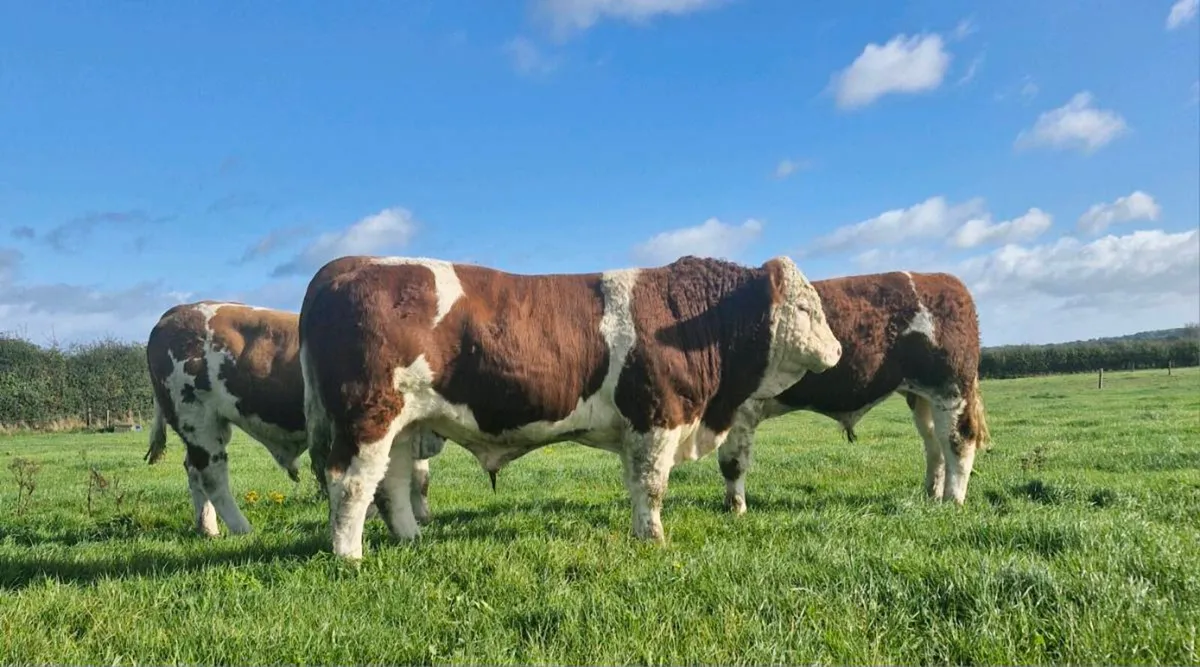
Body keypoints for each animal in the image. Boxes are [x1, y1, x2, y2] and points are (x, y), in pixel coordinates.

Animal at [144, 301, 438, 536]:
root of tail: (176, 312)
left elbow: (419, 476)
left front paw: (421, 515)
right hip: (199, 420)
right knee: (212, 476)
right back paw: (242, 528)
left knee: (194, 471)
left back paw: (207, 527)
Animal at [298, 253, 843, 559]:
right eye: (804, 308)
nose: (838, 351)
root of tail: (347, 266)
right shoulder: (656, 416)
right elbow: (652, 486)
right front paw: (653, 540)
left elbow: (638, 485)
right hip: (369, 415)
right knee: (350, 484)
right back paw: (348, 557)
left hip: (403, 424)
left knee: (389, 484)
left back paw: (409, 539)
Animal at [714, 270, 991, 515]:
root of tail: (948, 281)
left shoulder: (739, 411)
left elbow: (732, 463)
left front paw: (736, 509)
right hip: (923, 397)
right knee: (934, 443)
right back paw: (932, 495)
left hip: (951, 391)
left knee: (958, 441)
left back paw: (952, 501)